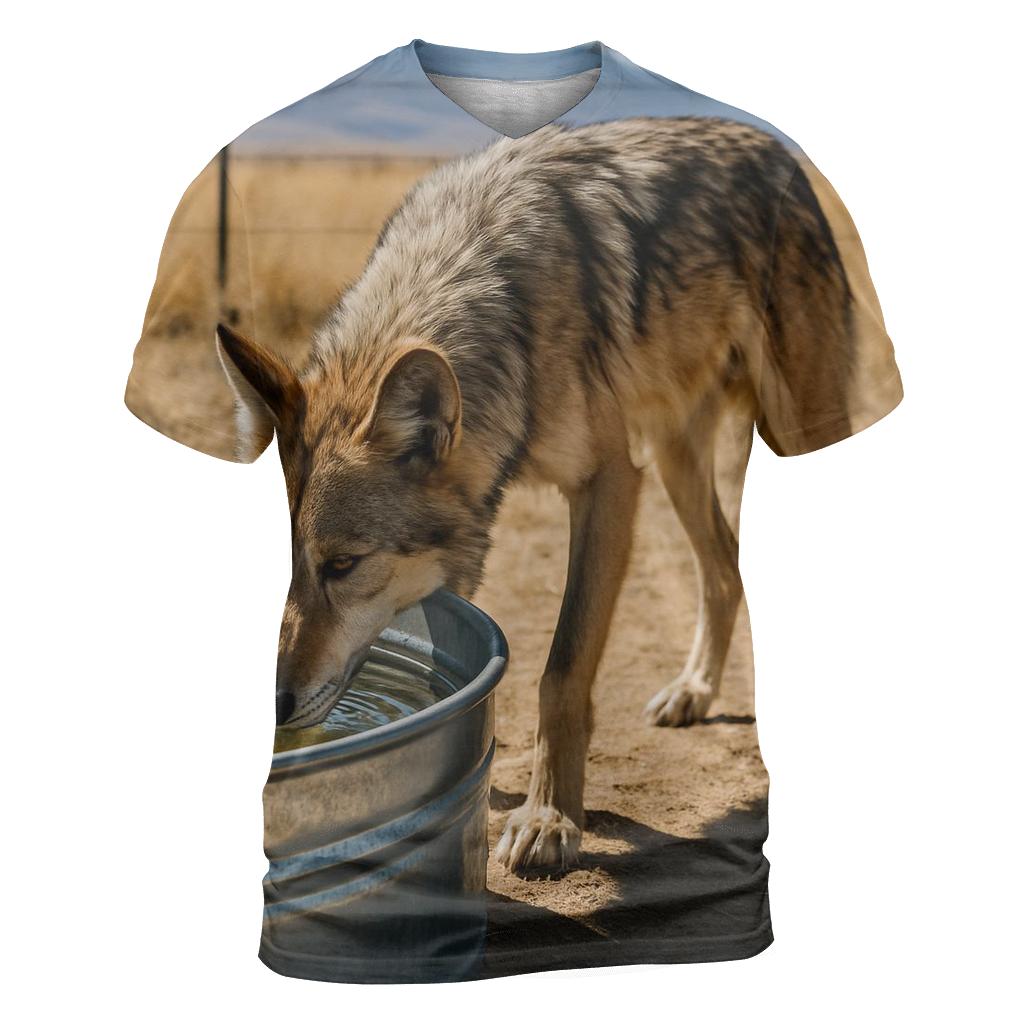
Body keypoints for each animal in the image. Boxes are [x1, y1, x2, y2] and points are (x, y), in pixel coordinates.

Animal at [215, 115, 855, 875]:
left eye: (342, 566)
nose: (274, 707)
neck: (492, 294)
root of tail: (770, 143)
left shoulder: (609, 480)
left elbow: (562, 670)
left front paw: (550, 819)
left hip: (793, 433)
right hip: (676, 458)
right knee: (724, 568)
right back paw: (693, 691)